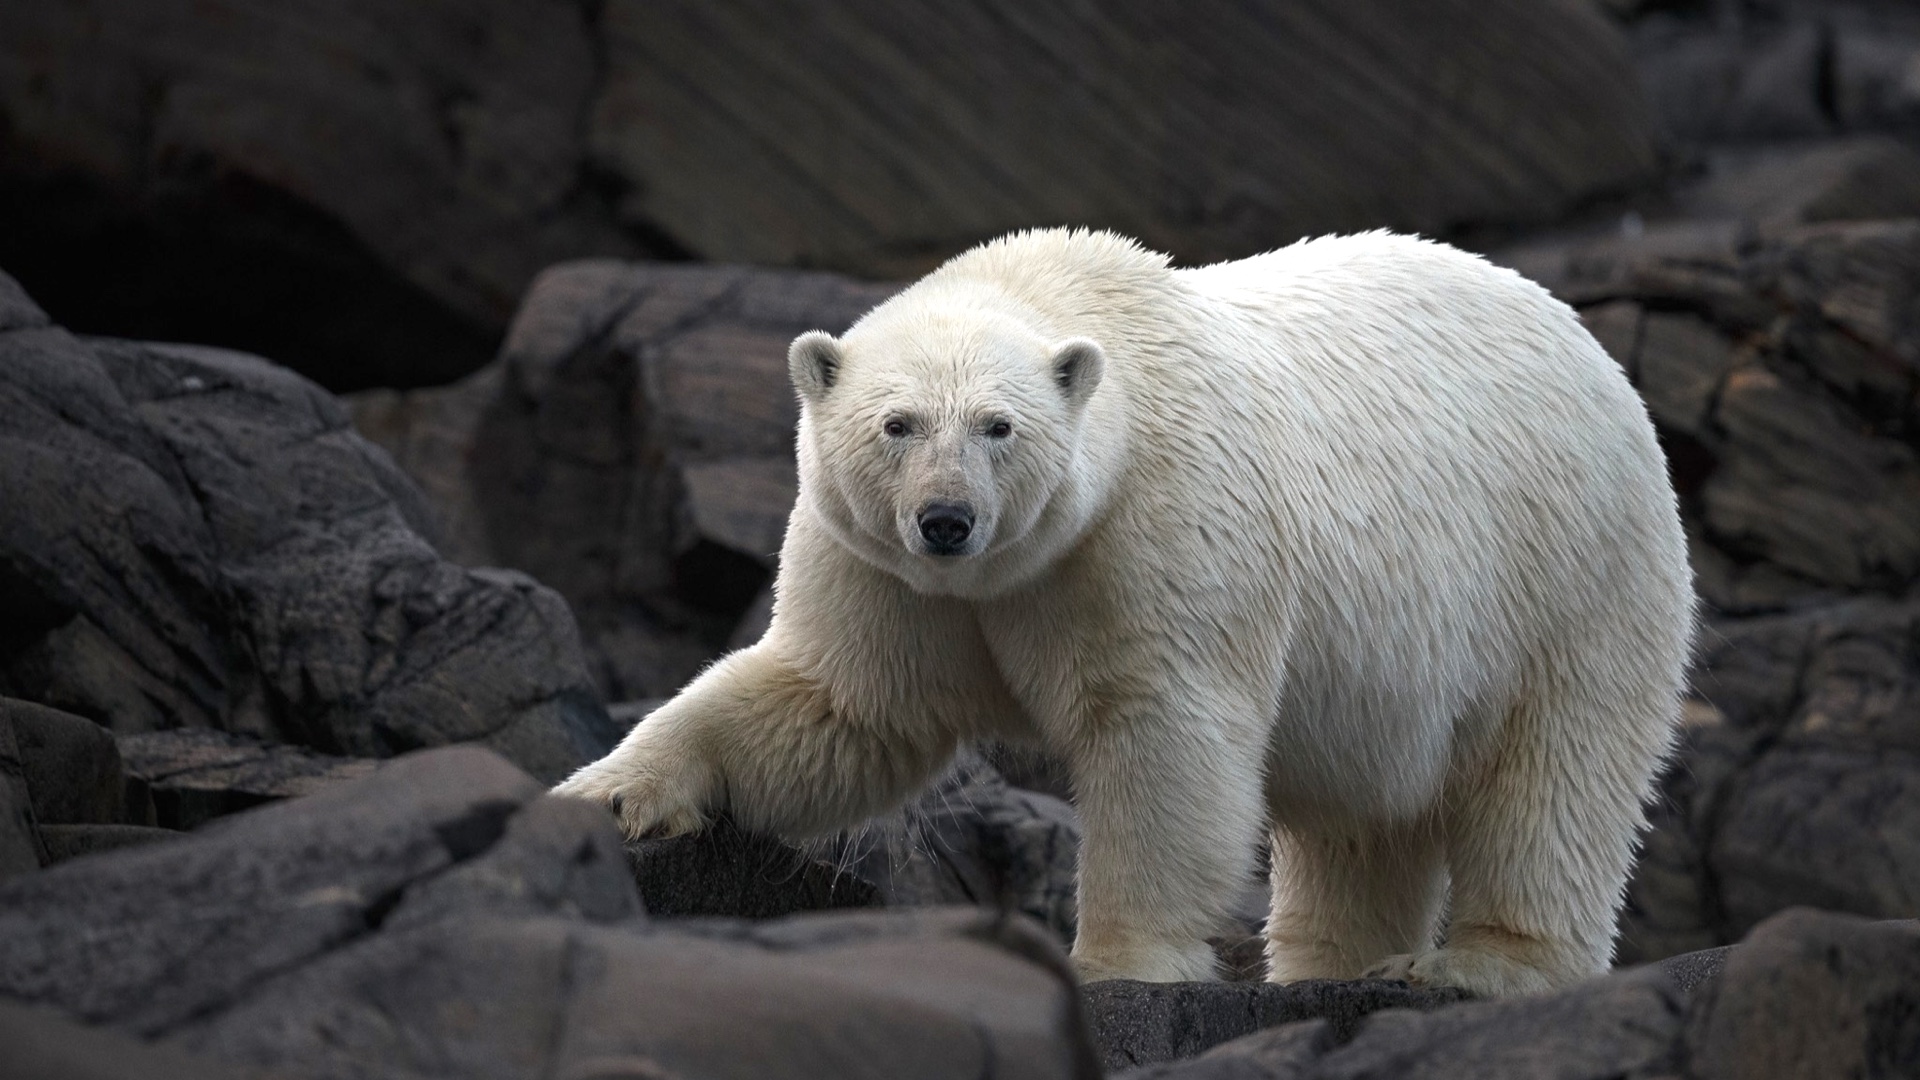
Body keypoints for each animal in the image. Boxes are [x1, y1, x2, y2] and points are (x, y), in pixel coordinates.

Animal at [553, 227, 1695, 997]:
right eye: (897, 423)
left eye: (999, 426)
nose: (947, 519)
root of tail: (1589, 348)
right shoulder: (885, 568)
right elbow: (839, 703)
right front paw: (611, 793)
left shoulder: (1155, 524)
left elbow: (1164, 732)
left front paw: (1120, 964)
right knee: (1361, 818)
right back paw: (1327, 965)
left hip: (1571, 571)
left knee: (1553, 772)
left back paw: (1476, 966)